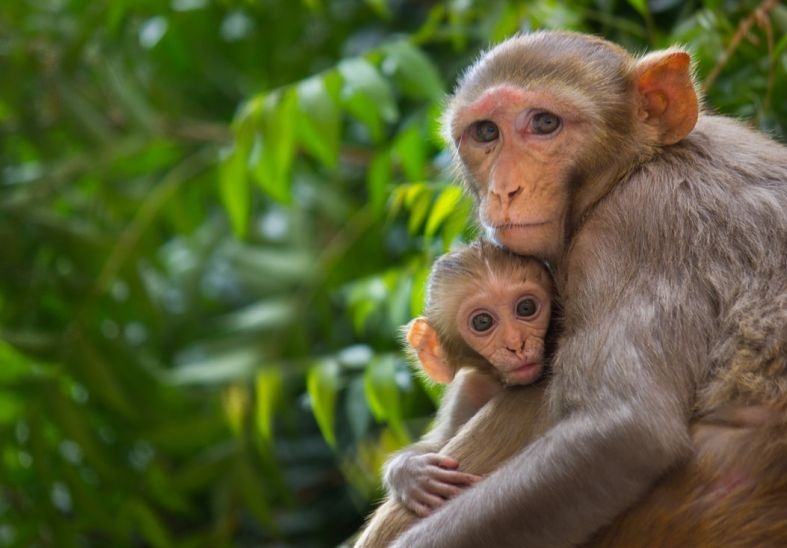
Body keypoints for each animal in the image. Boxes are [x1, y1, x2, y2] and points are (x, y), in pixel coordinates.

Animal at [382, 240, 556, 520]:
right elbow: (441, 443)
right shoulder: (469, 389)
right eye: (482, 322)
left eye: (526, 308)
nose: (516, 344)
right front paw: (410, 473)